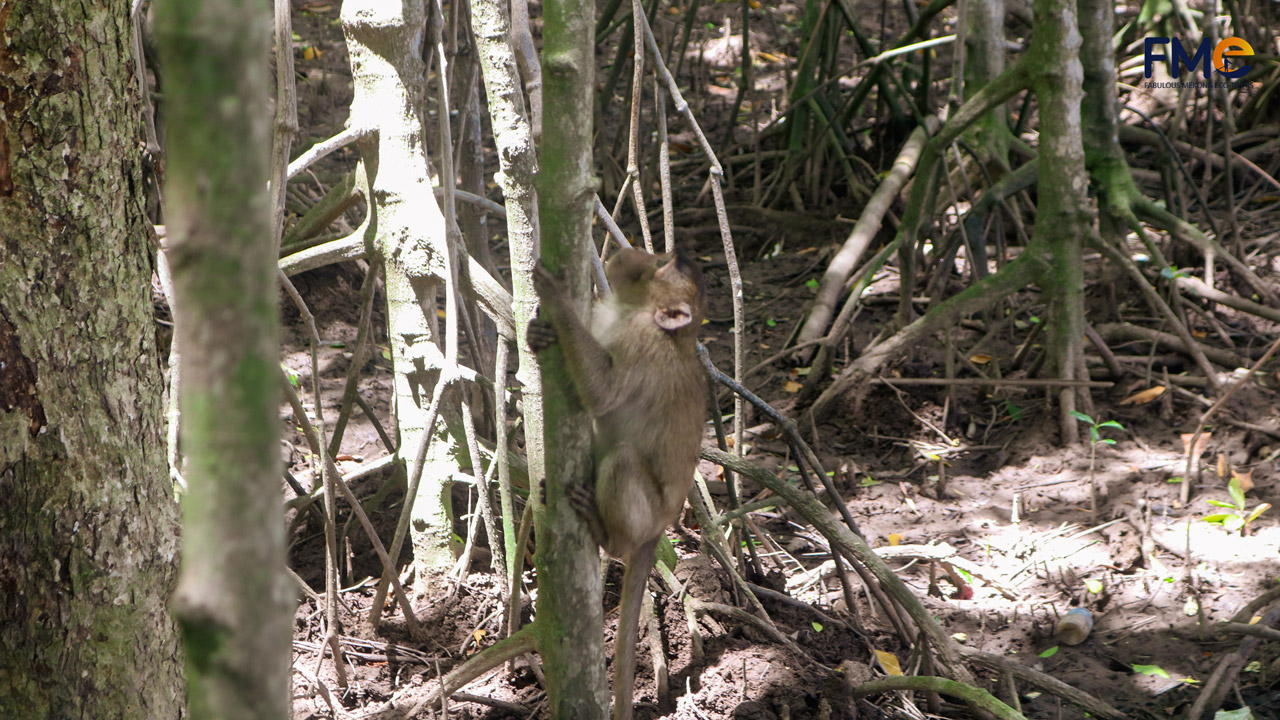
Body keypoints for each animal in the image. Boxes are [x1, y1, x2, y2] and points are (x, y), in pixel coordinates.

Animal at [529, 245, 711, 717]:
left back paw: (608, 535)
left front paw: (557, 300)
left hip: (646, 514)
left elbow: (604, 392)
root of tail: (661, 527)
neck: (634, 312)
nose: (636, 252)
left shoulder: (643, 343)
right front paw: (538, 332)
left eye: (665, 266)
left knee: (625, 460)